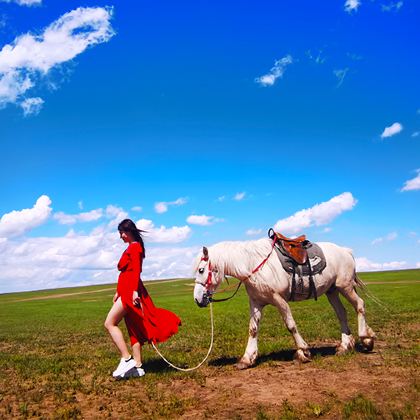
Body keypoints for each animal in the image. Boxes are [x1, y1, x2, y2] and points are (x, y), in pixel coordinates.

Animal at [192, 238, 376, 370]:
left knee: (359, 305)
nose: (197, 299)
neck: (254, 265)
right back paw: (344, 346)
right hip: (332, 291)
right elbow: (253, 329)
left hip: (345, 286)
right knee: (342, 313)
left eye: (201, 270)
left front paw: (303, 352)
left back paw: (366, 338)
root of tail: (346, 251)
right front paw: (247, 359)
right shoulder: (256, 302)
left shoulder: (279, 299)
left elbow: (291, 325)